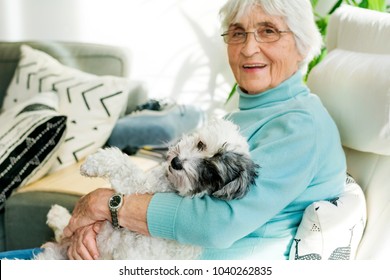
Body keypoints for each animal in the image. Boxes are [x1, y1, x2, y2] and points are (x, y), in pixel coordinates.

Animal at [34, 118, 258, 260]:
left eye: (211, 172)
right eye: (201, 144)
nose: (176, 162)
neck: (169, 185)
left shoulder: (138, 185)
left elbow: (122, 162)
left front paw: (93, 163)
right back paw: (57, 215)